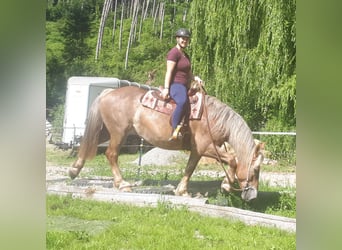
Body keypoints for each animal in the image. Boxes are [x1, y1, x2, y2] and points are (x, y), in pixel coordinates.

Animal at [68, 86, 264, 201]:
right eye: (255, 171)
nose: (253, 196)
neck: (213, 118)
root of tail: (108, 92)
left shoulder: (197, 151)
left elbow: (189, 168)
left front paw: (182, 191)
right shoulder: (206, 147)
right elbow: (232, 160)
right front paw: (226, 185)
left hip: (106, 131)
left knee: (87, 143)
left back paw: (74, 170)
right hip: (118, 132)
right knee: (111, 154)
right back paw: (122, 184)